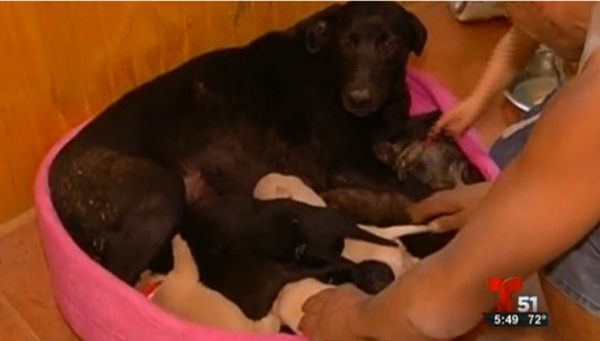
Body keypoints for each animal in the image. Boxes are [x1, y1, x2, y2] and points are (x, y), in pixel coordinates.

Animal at [49, 1, 428, 282]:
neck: (328, 68)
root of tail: (55, 181)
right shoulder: (348, 160)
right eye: (347, 42)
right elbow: (418, 190)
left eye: (390, 44)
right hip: (161, 194)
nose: (358, 99)